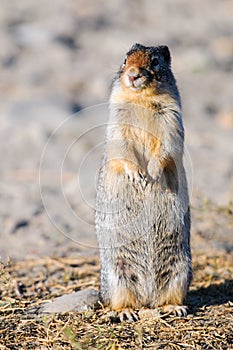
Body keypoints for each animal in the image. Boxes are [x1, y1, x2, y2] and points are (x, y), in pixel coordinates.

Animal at [94, 42, 191, 322]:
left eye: (156, 61)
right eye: (125, 59)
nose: (132, 75)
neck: (142, 100)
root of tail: (148, 297)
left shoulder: (172, 121)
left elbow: (167, 147)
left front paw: (154, 173)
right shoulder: (117, 123)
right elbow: (123, 148)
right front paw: (138, 176)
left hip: (181, 270)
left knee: (166, 298)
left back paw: (174, 307)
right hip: (116, 274)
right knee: (120, 301)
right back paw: (126, 313)